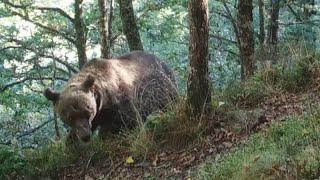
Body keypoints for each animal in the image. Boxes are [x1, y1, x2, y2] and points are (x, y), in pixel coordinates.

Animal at [43, 50, 178, 143]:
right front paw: (71, 142)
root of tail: (160, 59)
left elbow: (129, 121)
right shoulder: (98, 115)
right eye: (68, 117)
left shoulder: (120, 102)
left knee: (171, 103)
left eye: (87, 111)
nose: (85, 136)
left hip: (164, 85)